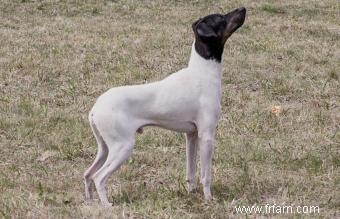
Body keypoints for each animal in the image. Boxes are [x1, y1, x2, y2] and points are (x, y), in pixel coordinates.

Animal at [83, 6, 246, 205]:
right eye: (221, 18)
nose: (243, 8)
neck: (202, 72)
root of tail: (95, 109)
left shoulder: (191, 136)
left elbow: (191, 172)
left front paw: (192, 193)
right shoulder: (207, 136)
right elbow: (206, 176)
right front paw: (208, 199)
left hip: (105, 149)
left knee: (88, 174)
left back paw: (90, 201)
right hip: (123, 147)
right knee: (99, 177)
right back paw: (107, 205)